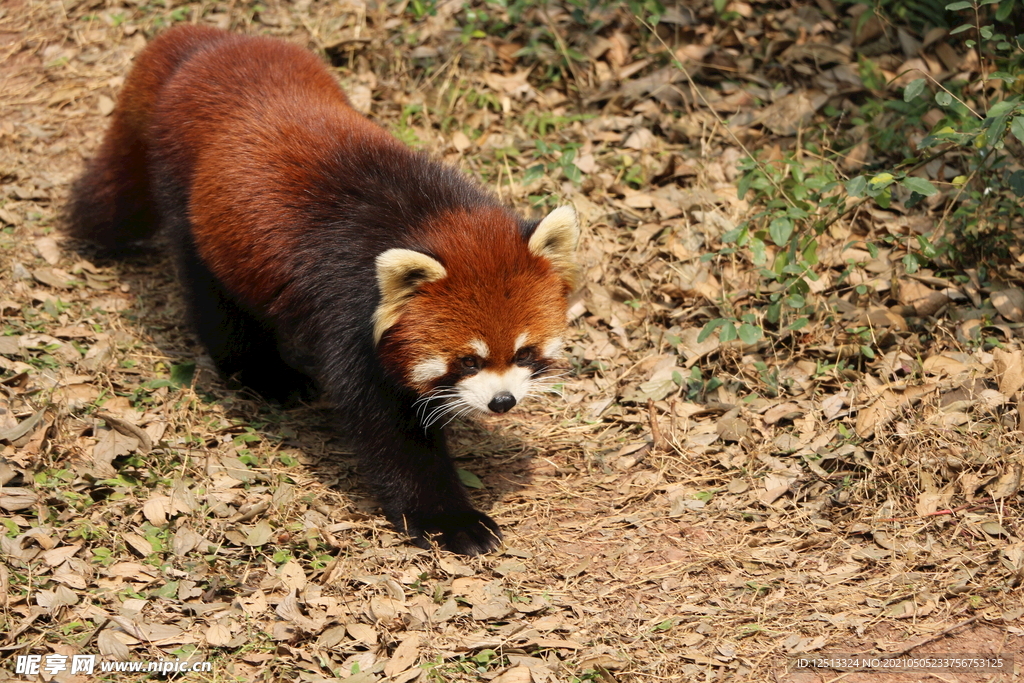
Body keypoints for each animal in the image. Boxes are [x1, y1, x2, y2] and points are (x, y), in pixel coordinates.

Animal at [68, 25, 581, 557]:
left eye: (524, 353)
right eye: (468, 361)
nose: (503, 402)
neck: (431, 221)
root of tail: (204, 46)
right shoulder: (348, 312)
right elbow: (389, 430)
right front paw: (450, 519)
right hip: (193, 203)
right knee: (214, 297)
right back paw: (263, 373)